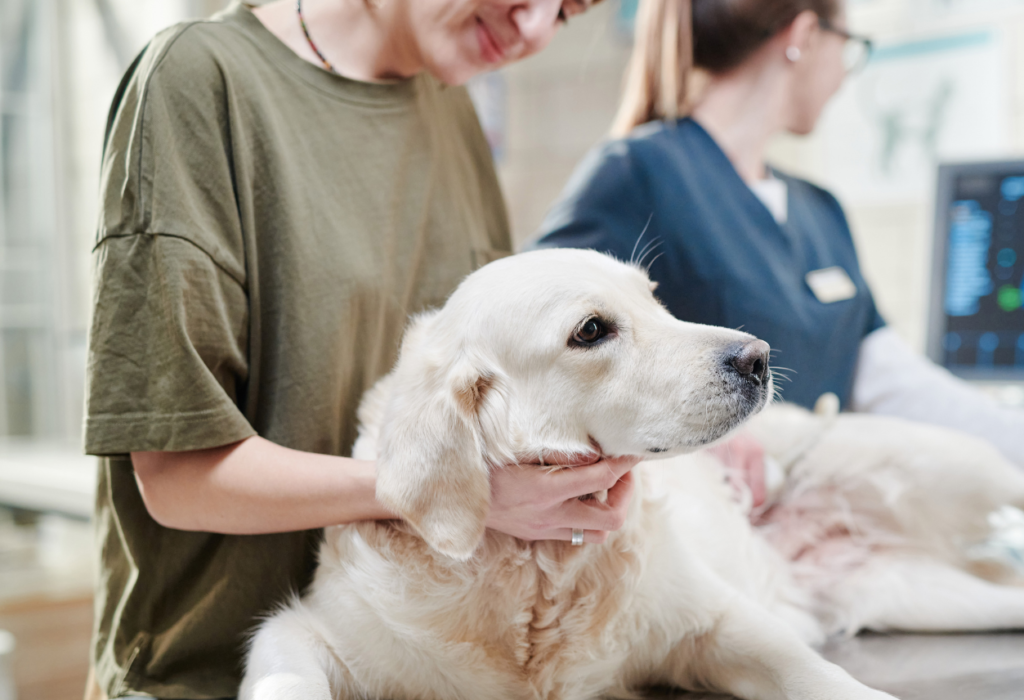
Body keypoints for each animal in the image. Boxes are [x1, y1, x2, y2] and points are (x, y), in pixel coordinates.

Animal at [237, 249, 1024, 700]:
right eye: (592, 330)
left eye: (654, 297)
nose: (758, 357)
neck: (537, 571)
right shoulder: (312, 629)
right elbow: (285, 671)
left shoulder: (715, 620)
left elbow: (814, 673)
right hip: (928, 595)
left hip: (950, 471)